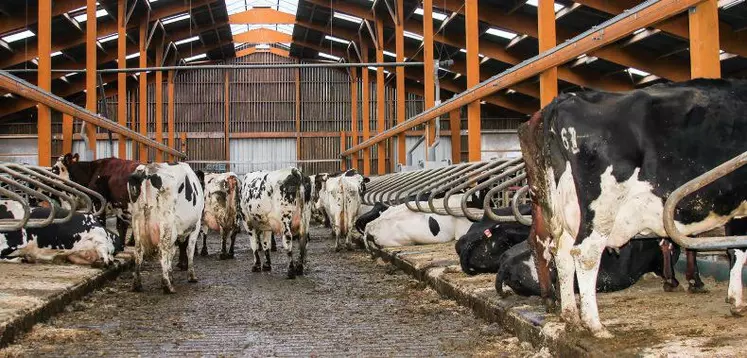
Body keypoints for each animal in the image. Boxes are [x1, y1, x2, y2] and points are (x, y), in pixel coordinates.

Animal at [127, 163, 205, 294]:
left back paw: (136, 284)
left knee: (138, 251)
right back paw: (167, 285)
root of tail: (147, 170)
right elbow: (189, 249)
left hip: (136, 220)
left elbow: (172, 252)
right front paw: (191, 276)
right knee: (162, 250)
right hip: (166, 221)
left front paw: (171, 275)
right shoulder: (196, 225)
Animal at [520, 79, 747, 338]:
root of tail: (563, 100)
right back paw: (594, 324)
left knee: (560, 251)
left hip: (568, 211)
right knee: (584, 253)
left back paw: (569, 315)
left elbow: (734, 249)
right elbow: (738, 248)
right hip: (601, 206)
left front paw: (733, 299)